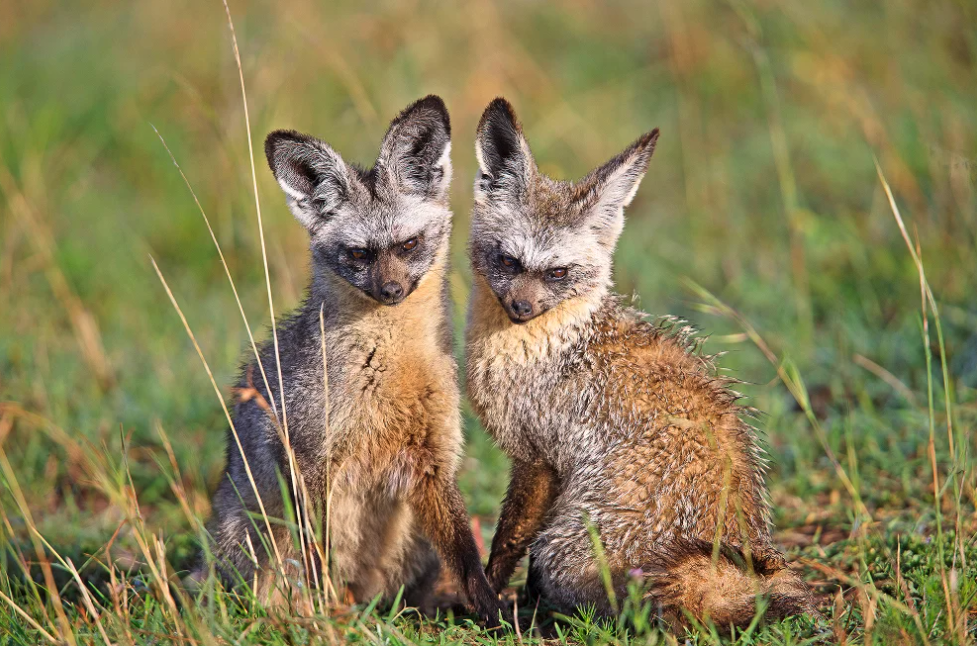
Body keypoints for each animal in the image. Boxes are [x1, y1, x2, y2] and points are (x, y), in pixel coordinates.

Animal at [204, 96, 510, 628]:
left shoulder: (432, 461)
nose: (390, 291)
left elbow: (468, 557)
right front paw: (321, 608)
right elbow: (318, 553)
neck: (386, 373)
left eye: (408, 244)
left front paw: (492, 613)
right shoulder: (310, 460)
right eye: (358, 254)